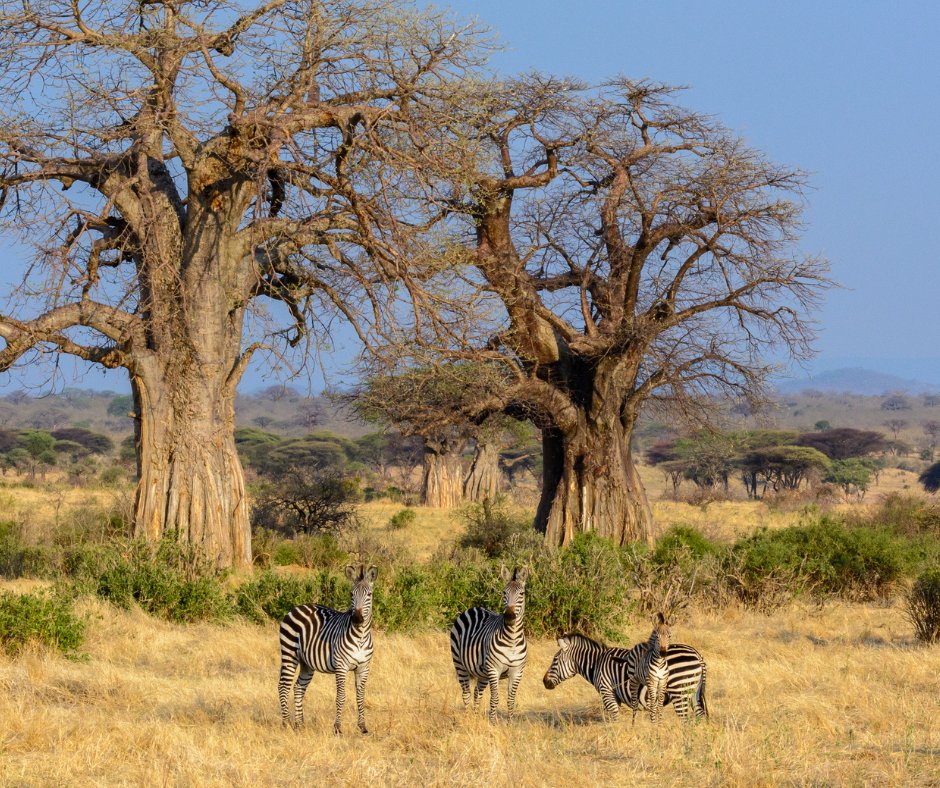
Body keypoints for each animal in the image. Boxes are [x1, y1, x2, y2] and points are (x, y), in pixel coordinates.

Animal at [278, 564, 376, 736]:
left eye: (369, 594)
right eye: (351, 594)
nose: (357, 619)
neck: (361, 636)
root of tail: (297, 607)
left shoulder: (363, 668)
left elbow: (360, 696)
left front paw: (363, 727)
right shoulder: (341, 666)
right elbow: (341, 697)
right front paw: (337, 728)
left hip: (306, 663)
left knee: (298, 688)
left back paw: (300, 724)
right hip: (289, 654)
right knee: (283, 686)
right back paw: (286, 724)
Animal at [450, 564, 528, 724]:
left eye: (522, 593)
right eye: (504, 592)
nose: (509, 616)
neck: (512, 640)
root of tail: (474, 608)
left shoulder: (517, 672)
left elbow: (511, 700)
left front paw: (510, 724)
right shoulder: (494, 670)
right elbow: (495, 699)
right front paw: (492, 723)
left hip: (482, 673)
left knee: (476, 692)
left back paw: (474, 717)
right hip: (460, 665)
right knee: (466, 693)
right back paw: (467, 718)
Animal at [540, 628, 708, 720]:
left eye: (554, 660)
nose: (544, 682)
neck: (597, 663)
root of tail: (697, 655)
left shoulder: (607, 691)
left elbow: (614, 718)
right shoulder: (616, 696)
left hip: (679, 691)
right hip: (693, 694)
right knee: (699, 718)